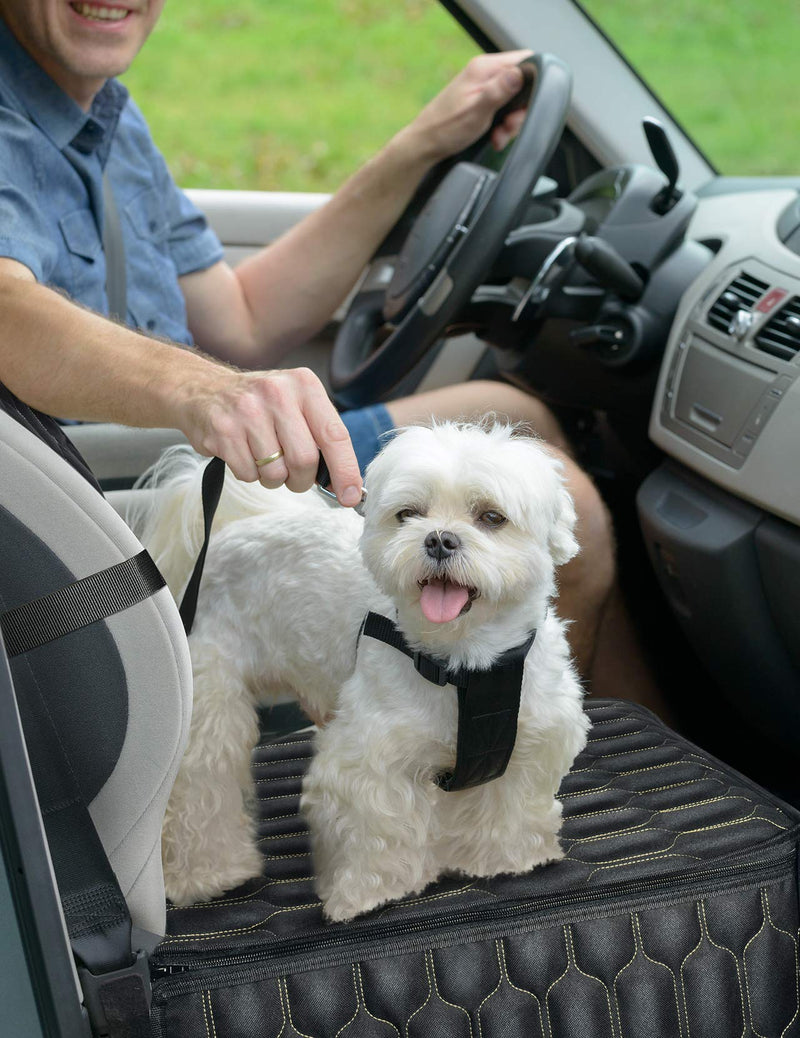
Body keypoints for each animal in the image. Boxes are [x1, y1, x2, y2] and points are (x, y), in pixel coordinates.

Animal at [135, 417, 589, 921]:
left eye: (492, 517)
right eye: (408, 514)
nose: (439, 539)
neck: (462, 664)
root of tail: (231, 533)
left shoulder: (528, 744)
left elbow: (508, 809)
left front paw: (506, 858)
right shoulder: (371, 759)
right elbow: (376, 826)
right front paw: (372, 892)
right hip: (210, 698)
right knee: (201, 784)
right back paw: (208, 874)